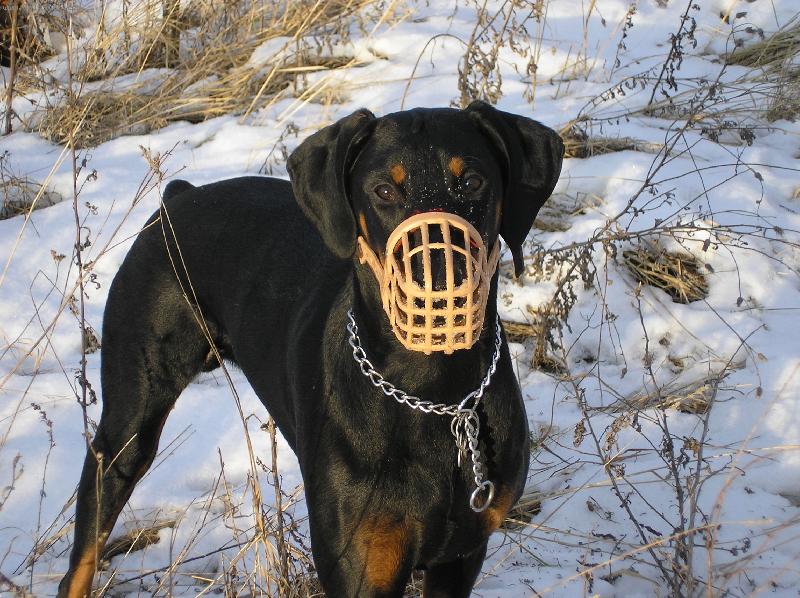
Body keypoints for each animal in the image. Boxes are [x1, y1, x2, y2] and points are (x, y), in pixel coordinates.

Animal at [57, 100, 563, 598]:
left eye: (473, 181)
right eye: (383, 190)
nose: (440, 278)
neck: (434, 394)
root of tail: (178, 196)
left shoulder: (460, 556)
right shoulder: (360, 569)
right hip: (128, 428)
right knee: (82, 554)